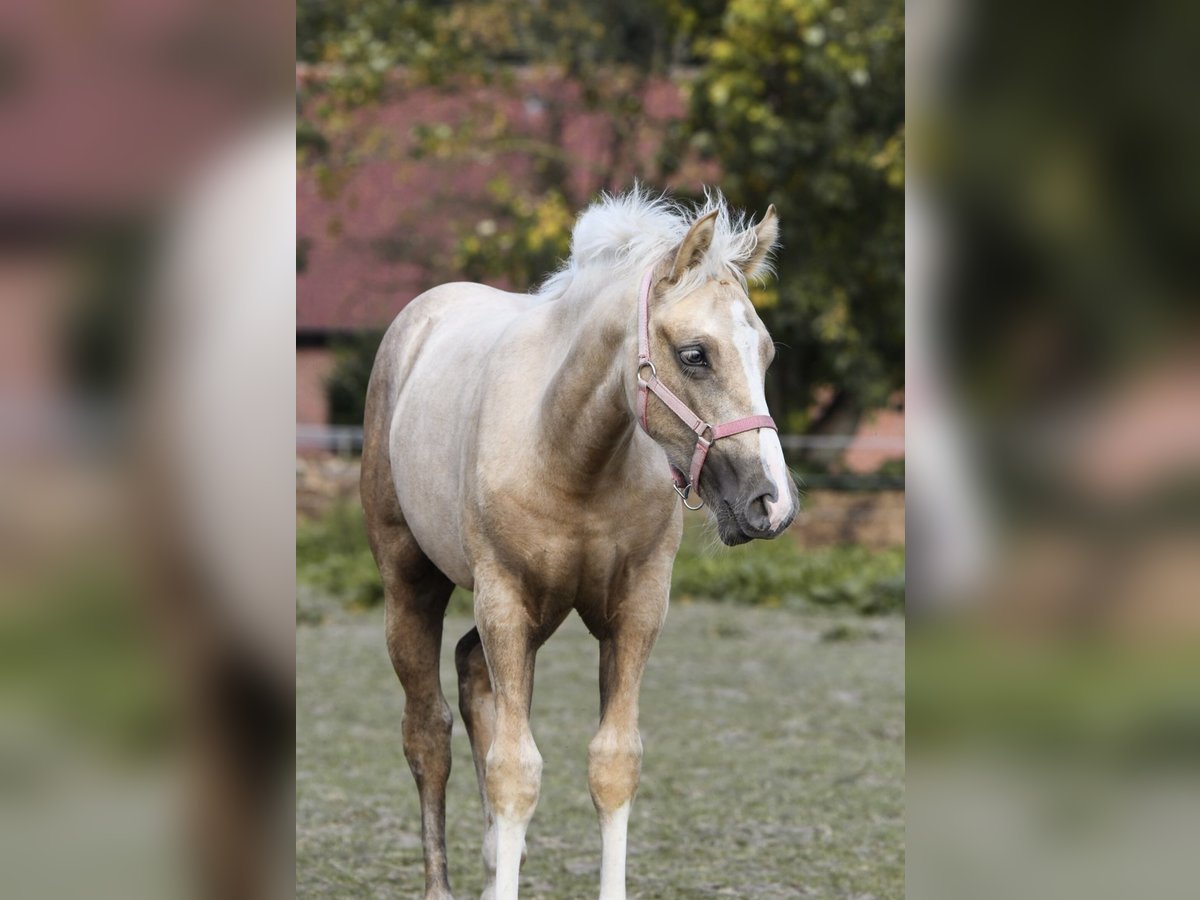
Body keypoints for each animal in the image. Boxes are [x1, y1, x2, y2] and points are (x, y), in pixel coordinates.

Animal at [360, 187, 801, 897]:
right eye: (695, 354)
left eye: (764, 354)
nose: (772, 502)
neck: (567, 450)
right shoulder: (504, 599)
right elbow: (516, 772)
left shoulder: (635, 607)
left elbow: (612, 764)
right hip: (412, 584)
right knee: (427, 733)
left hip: (538, 614)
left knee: (472, 673)